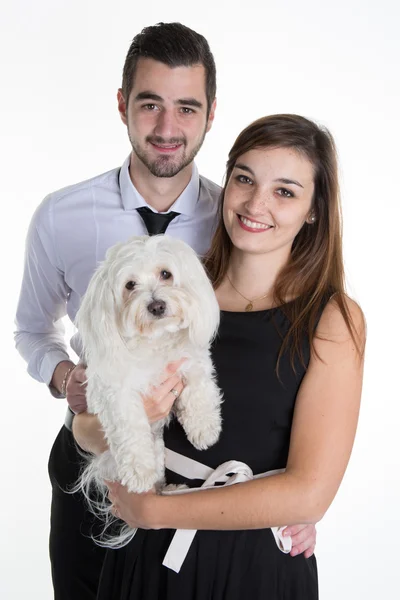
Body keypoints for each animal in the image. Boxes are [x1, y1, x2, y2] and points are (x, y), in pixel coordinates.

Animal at [72, 234, 222, 548]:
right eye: (130, 285)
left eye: (165, 274)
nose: (156, 305)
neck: (155, 341)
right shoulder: (115, 394)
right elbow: (130, 431)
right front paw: (138, 471)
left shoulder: (192, 360)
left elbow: (199, 389)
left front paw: (204, 428)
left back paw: (171, 489)